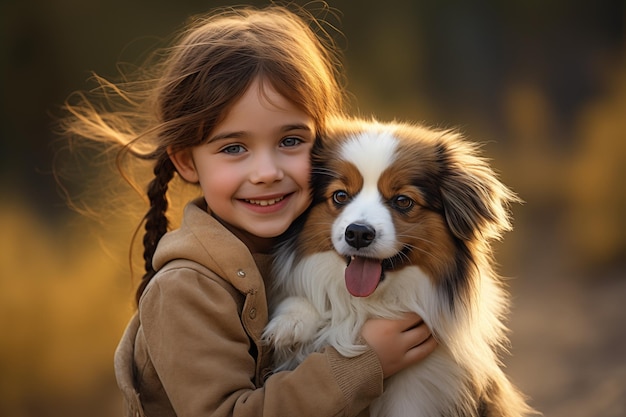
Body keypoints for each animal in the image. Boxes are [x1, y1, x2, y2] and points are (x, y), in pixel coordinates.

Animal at [262, 116, 532, 416]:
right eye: (340, 196)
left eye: (403, 201)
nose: (358, 233)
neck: (369, 305)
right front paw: (291, 320)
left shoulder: (416, 395)